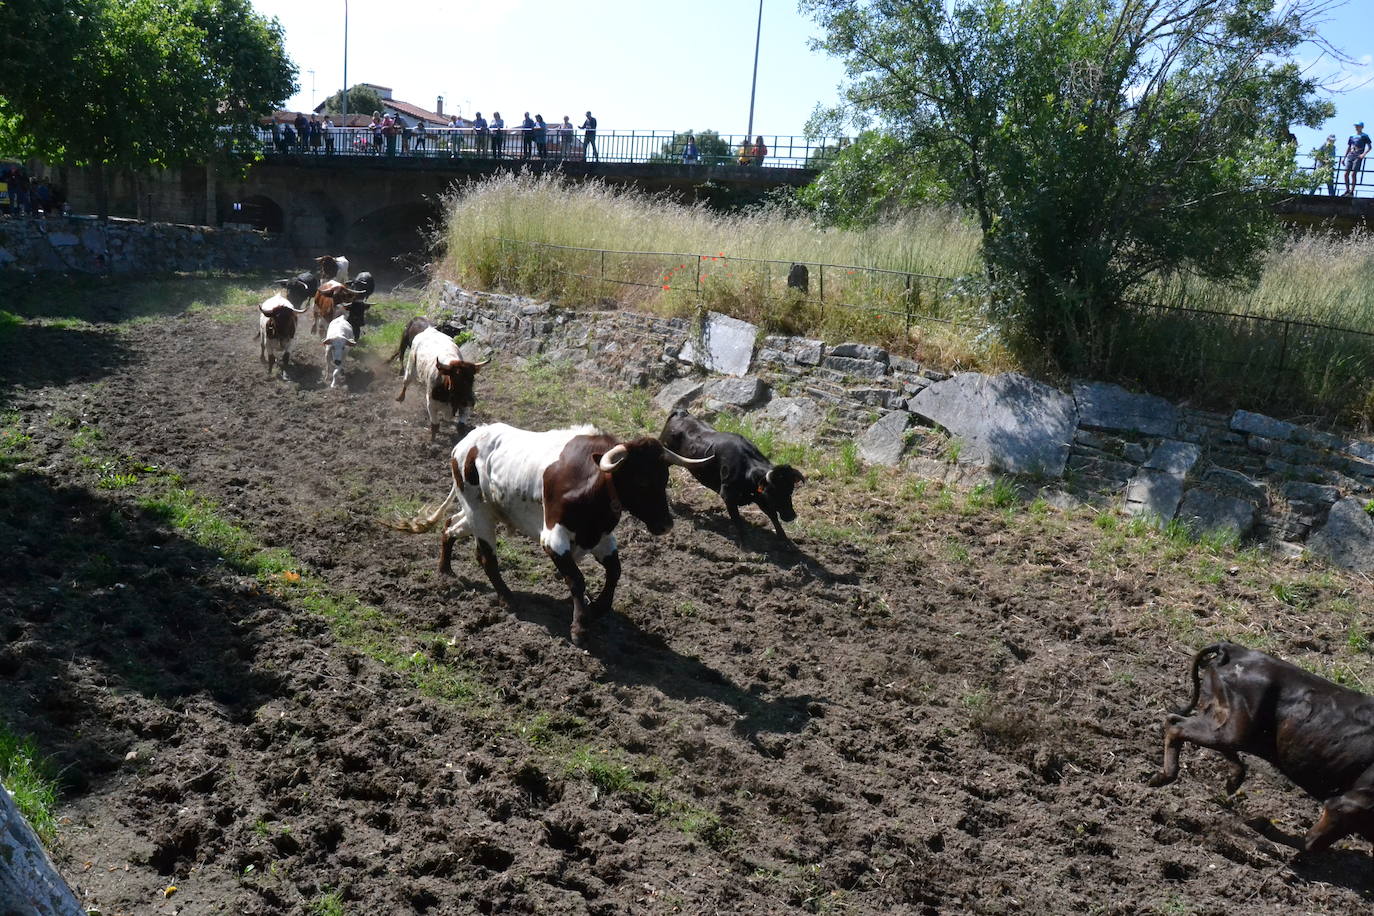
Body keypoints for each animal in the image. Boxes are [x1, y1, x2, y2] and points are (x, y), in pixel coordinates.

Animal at [392, 425, 714, 648]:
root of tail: (464, 443)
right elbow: (577, 580)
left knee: (450, 525)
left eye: (664, 478)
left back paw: (445, 570)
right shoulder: (554, 539)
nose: (665, 525)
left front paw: (597, 608)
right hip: (478, 510)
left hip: (483, 512)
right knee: (485, 556)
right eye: (641, 480)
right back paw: (507, 598)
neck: (591, 485)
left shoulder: (601, 538)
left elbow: (615, 571)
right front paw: (580, 628)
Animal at [656, 409, 802, 543]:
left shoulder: (759, 496)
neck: (746, 469)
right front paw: (745, 543)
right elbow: (738, 520)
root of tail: (681, 412)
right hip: (668, 455)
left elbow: (772, 515)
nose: (791, 516)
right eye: (774, 493)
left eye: (790, 491)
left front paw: (785, 541)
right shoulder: (728, 495)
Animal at [1148, 645, 1374, 851]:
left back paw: (1232, 781)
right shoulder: (1349, 804)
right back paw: (1163, 777)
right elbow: (1312, 843)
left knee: (1179, 722)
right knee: (1176, 726)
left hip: (1229, 724)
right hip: (1236, 729)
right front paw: (1260, 825)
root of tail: (1233, 649)